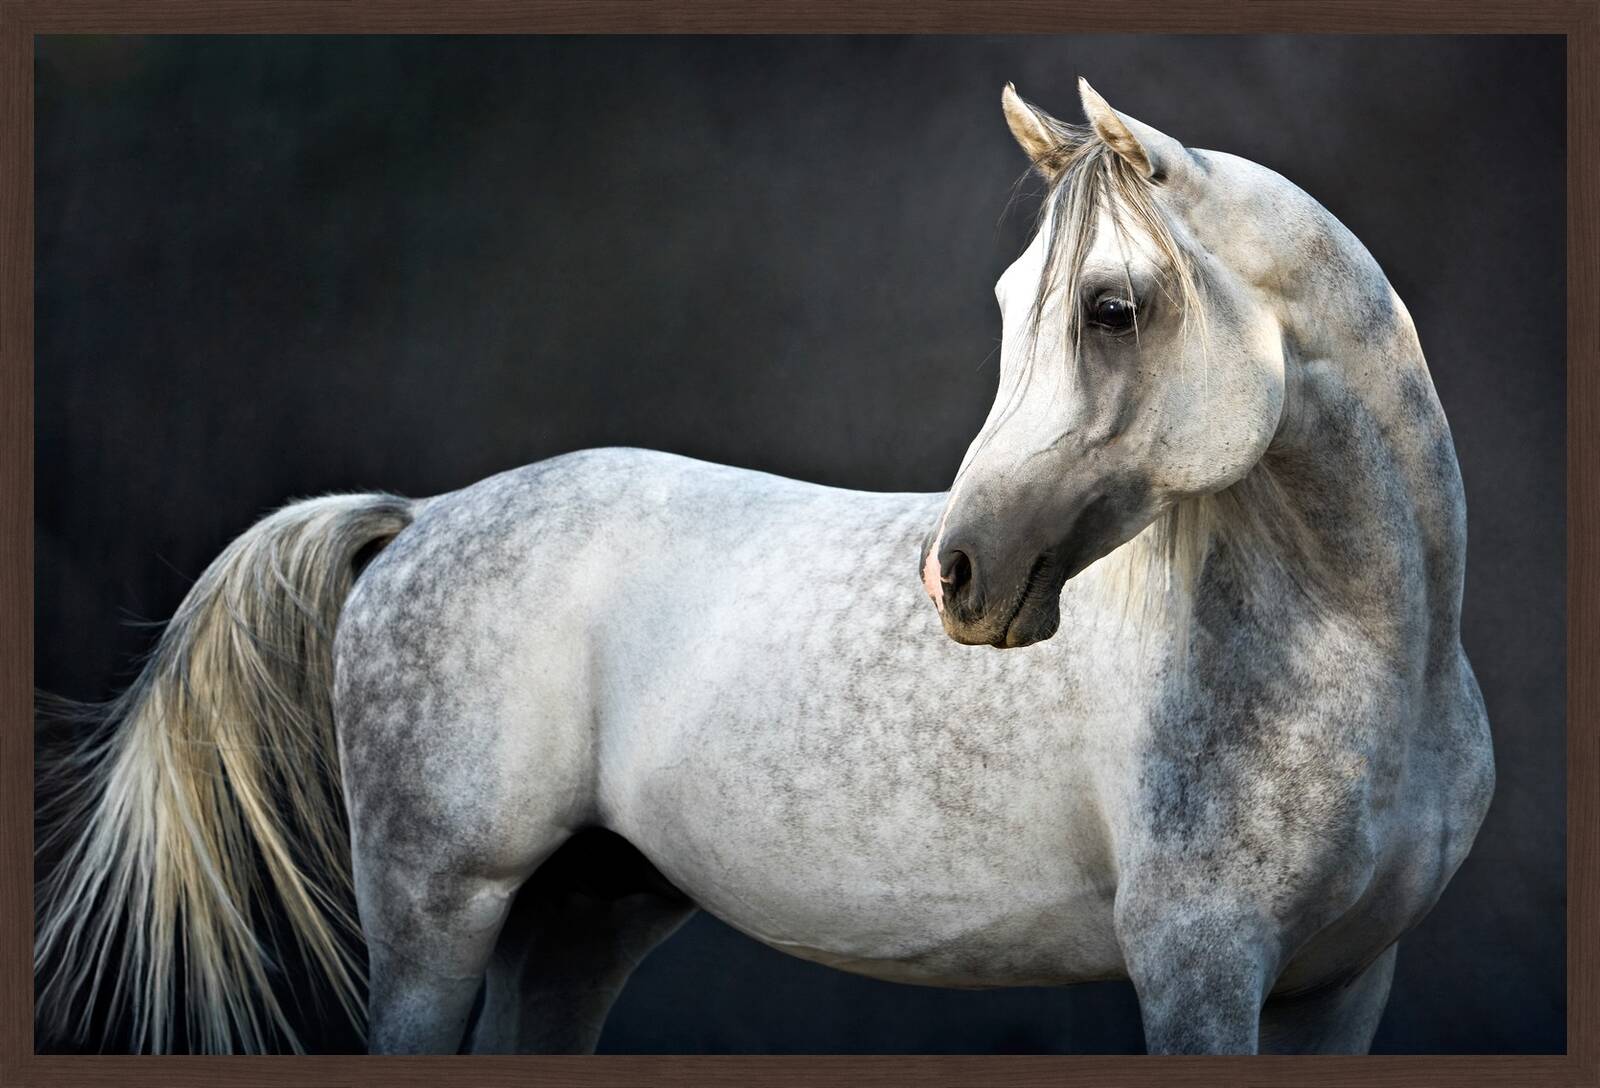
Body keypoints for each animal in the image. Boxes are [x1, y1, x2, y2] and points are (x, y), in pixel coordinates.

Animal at [35, 78, 1494, 1056]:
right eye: (1017, 304)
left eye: (1112, 308)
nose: (958, 574)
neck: (1370, 666)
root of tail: (423, 518)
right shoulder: (1200, 975)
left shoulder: (1338, 987)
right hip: (434, 911)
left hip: (581, 915)